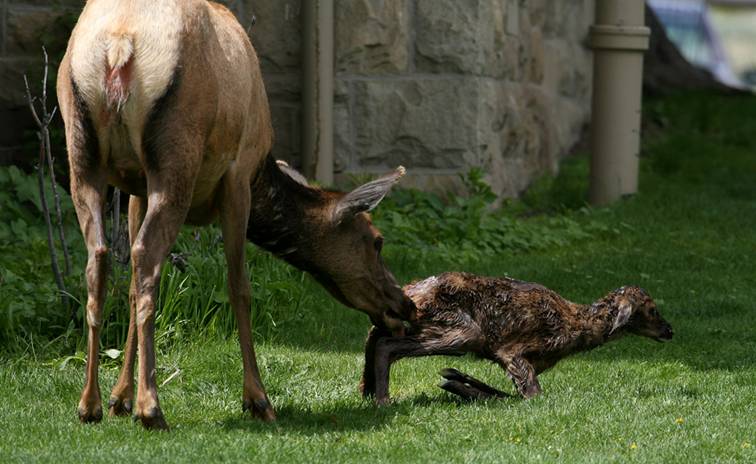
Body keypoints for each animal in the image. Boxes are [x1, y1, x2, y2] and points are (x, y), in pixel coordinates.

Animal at [57, 0, 414, 432]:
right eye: (376, 241)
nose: (406, 305)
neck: (263, 172)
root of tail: (119, 45)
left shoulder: (135, 187)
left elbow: (127, 288)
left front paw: (119, 398)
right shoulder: (238, 176)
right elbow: (239, 285)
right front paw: (258, 399)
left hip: (82, 152)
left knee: (101, 259)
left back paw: (89, 403)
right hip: (177, 152)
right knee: (146, 256)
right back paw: (151, 407)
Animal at [360, 272, 672, 402]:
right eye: (652, 309)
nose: (670, 330)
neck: (574, 324)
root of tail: (413, 293)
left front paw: (458, 380)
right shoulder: (513, 351)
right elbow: (532, 396)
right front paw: (457, 384)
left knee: (375, 334)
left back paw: (368, 391)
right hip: (461, 329)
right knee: (385, 343)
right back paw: (383, 401)